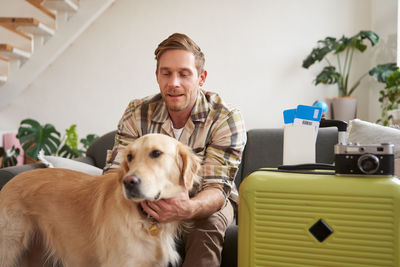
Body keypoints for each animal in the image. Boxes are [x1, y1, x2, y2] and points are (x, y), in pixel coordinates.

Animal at [0, 134, 200, 267]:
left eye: (156, 153)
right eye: (129, 157)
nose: (129, 182)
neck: (142, 217)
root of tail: (10, 180)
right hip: (9, 248)